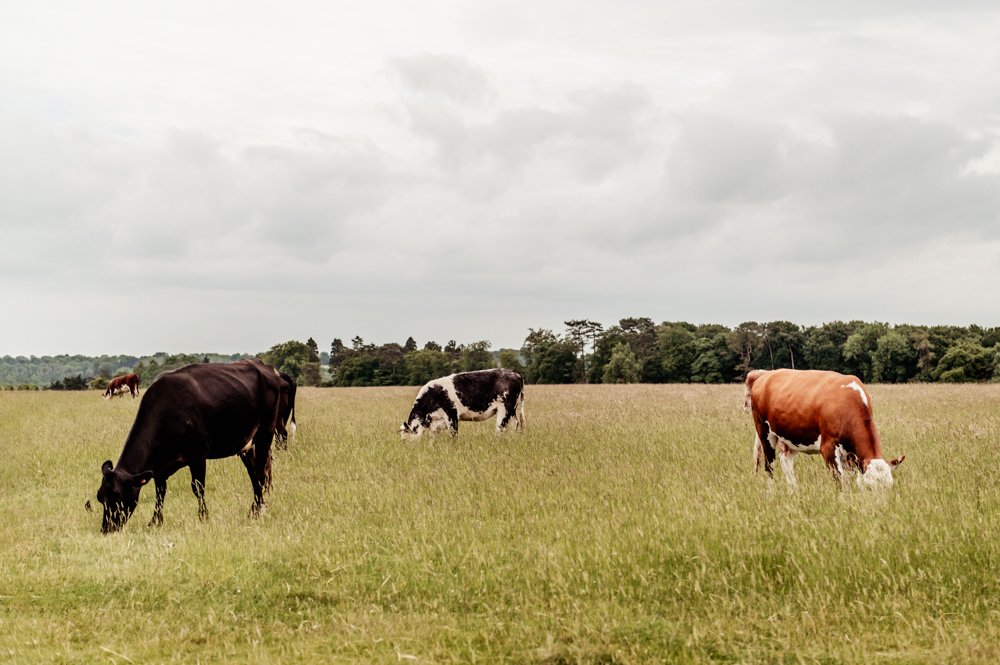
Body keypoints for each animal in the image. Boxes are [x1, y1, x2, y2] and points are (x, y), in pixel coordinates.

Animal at [94, 359, 282, 533]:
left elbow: (198, 487)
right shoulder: (158, 467)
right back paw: (256, 509)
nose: (106, 529)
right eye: (100, 498)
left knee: (260, 474)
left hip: (265, 432)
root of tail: (263, 365)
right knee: (254, 474)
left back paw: (256, 512)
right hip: (246, 445)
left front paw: (203, 517)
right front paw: (155, 521)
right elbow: (160, 492)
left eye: (119, 497)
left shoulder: (198, 455)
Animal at [744, 368, 904, 489]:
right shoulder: (828, 447)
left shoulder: (850, 457)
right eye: (869, 487)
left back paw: (793, 490)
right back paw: (772, 492)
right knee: (769, 465)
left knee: (785, 459)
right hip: (764, 432)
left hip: (793, 435)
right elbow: (840, 481)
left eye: (890, 486)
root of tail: (766, 374)